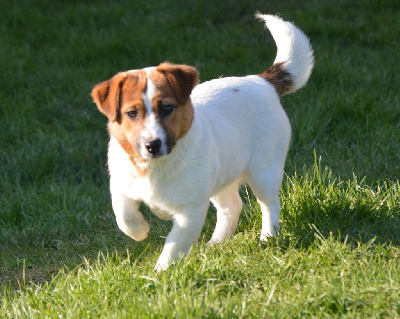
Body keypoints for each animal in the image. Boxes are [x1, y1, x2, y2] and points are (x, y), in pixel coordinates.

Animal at [92, 14, 314, 270]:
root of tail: (261, 81)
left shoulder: (191, 211)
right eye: (131, 113)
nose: (152, 145)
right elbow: (123, 215)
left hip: (264, 170)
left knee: (269, 204)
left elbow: (174, 244)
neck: (155, 167)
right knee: (232, 206)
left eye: (166, 108)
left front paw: (161, 271)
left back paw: (267, 237)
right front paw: (140, 232)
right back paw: (216, 243)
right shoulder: (121, 186)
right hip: (222, 173)